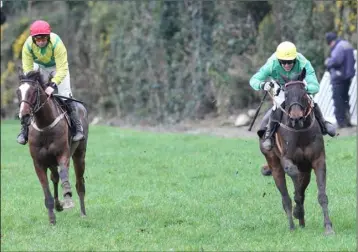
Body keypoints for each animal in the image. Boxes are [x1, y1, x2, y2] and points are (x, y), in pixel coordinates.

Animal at [16, 69, 89, 224]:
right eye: (18, 91)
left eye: (34, 91)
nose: (24, 116)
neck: (44, 125)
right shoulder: (39, 162)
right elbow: (47, 189)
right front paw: (52, 219)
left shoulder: (63, 154)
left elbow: (64, 175)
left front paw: (67, 198)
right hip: (50, 161)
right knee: (54, 178)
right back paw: (58, 205)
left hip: (79, 155)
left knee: (79, 183)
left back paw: (82, 213)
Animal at [258, 68, 334, 235]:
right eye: (286, 94)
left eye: (304, 93)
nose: (296, 117)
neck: (300, 132)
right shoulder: (287, 160)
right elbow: (294, 179)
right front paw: (297, 210)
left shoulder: (317, 160)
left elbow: (321, 194)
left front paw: (328, 227)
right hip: (274, 164)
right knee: (285, 197)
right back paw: (292, 225)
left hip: (305, 169)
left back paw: (302, 222)